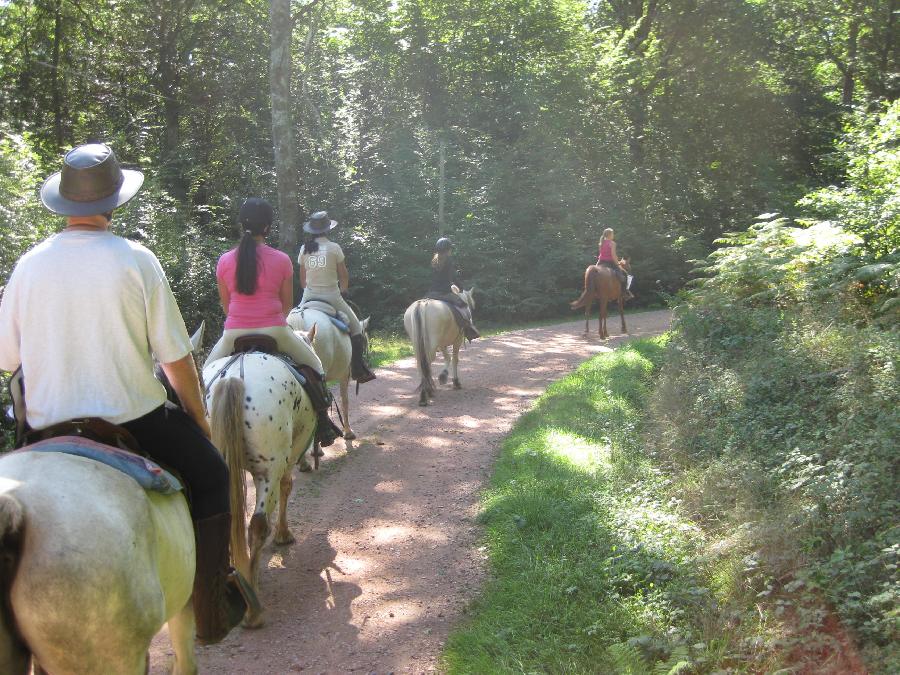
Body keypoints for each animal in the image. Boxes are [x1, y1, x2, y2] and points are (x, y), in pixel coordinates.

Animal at [202, 328, 318, 628]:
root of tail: (234, 377)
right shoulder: (288, 457)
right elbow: (287, 486)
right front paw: (284, 535)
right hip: (269, 470)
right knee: (257, 525)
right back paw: (252, 608)